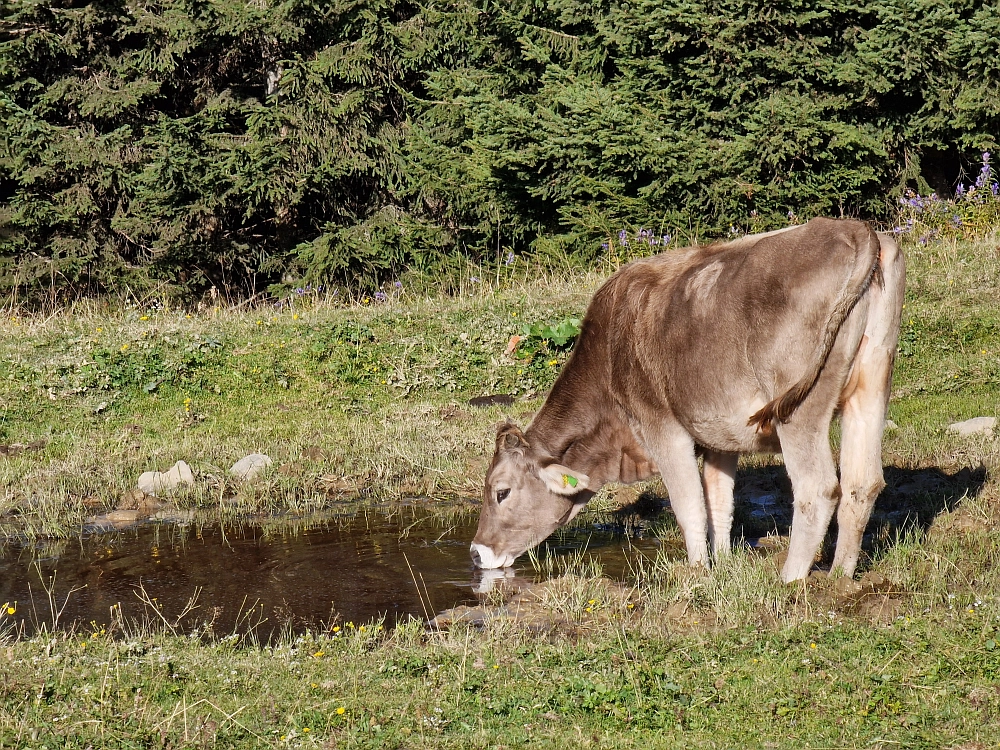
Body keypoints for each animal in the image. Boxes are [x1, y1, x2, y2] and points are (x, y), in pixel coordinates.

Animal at [470, 217, 908, 580]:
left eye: (501, 491)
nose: (476, 553)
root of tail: (854, 228)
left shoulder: (661, 427)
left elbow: (689, 504)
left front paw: (697, 572)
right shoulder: (718, 434)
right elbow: (719, 501)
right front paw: (724, 563)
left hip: (799, 409)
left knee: (817, 488)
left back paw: (790, 581)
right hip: (871, 386)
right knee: (862, 483)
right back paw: (839, 579)